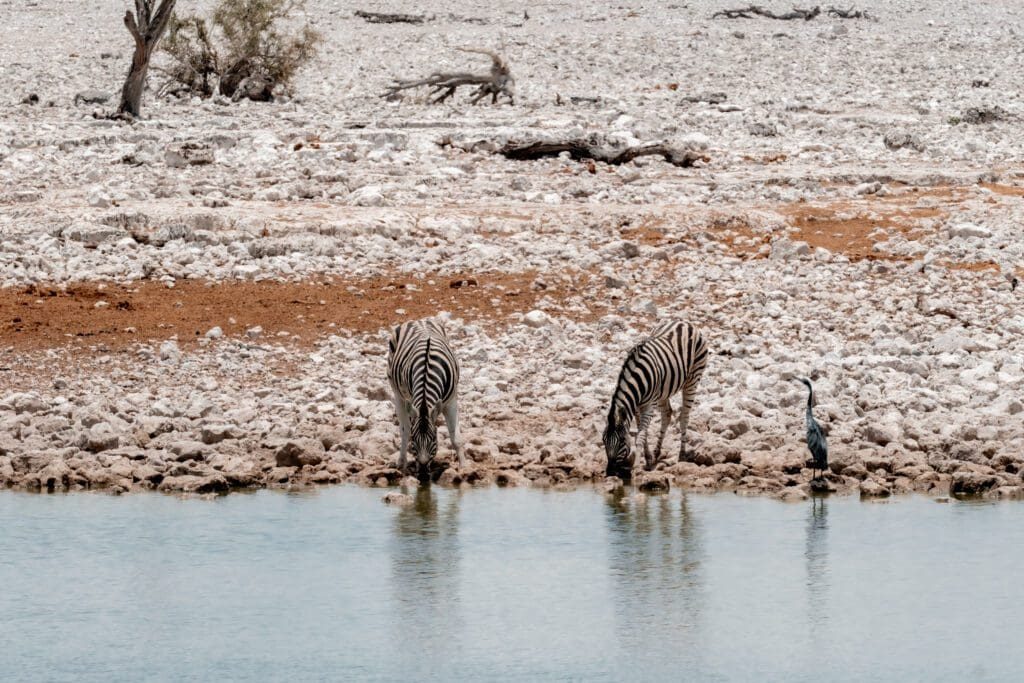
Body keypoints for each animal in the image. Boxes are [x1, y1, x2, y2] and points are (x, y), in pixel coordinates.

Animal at [387, 319, 465, 476]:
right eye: (414, 440)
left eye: (434, 438)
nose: (422, 473)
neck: (427, 370)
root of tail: (417, 320)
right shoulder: (412, 400)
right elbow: (408, 429)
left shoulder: (451, 400)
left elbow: (456, 438)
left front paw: (464, 467)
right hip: (397, 393)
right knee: (404, 428)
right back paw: (402, 462)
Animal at [603, 320, 709, 478]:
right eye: (603, 440)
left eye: (621, 441)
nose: (610, 472)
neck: (637, 379)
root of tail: (684, 322)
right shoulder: (637, 407)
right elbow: (642, 432)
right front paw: (647, 458)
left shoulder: (649, 405)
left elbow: (640, 435)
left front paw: (636, 467)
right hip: (664, 390)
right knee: (667, 414)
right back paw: (657, 453)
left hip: (693, 380)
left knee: (684, 417)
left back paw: (682, 454)